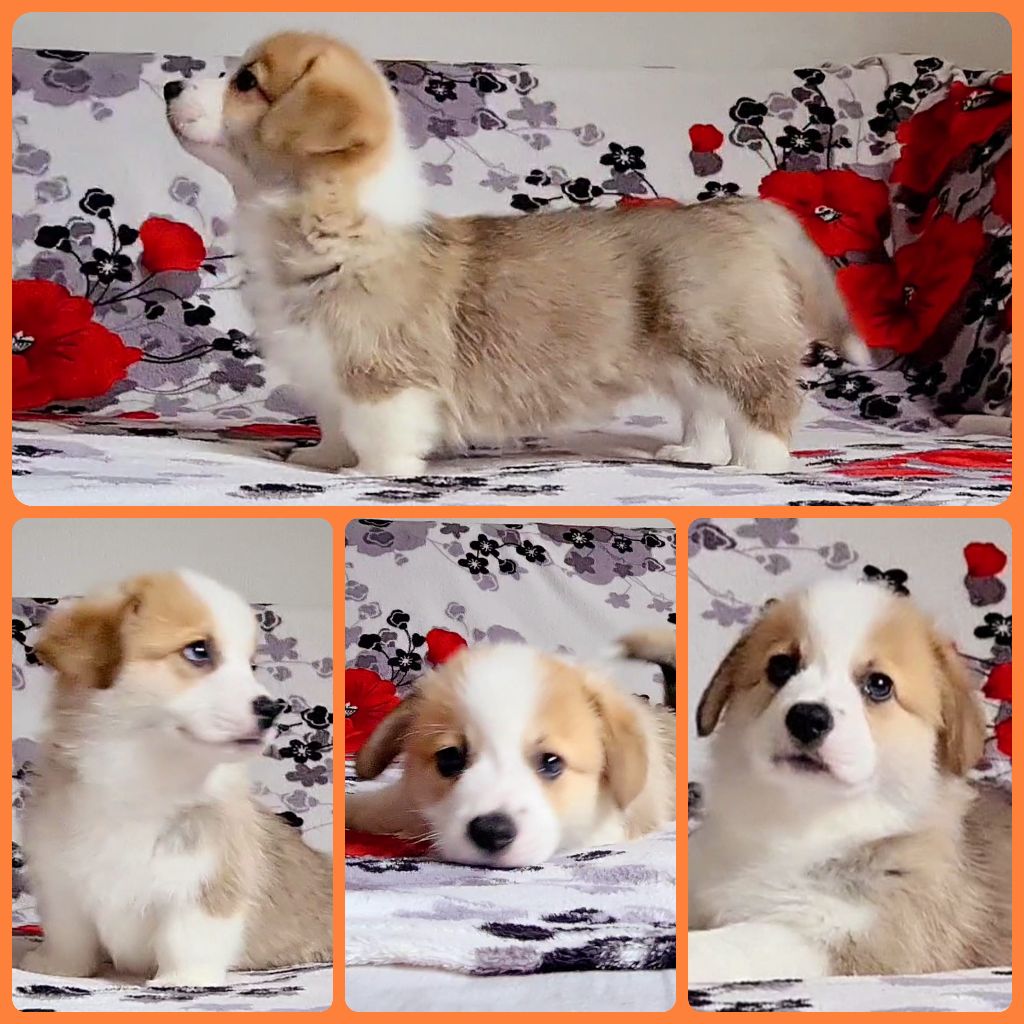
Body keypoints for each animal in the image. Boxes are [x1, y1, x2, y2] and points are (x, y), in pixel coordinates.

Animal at [19, 571, 332, 987]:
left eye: (250, 665)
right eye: (199, 651)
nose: (273, 710)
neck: (142, 785)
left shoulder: (204, 885)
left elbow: (186, 937)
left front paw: (182, 981)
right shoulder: (61, 884)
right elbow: (68, 935)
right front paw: (56, 968)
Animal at [163, 31, 866, 477]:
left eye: (246, 81)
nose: (169, 84)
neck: (333, 221)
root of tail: (738, 210)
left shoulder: (382, 373)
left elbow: (381, 431)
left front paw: (371, 474)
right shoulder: (330, 372)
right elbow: (335, 424)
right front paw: (319, 459)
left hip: (725, 341)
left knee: (762, 405)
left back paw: (757, 467)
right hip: (688, 359)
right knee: (707, 411)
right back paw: (694, 456)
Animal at [688, 579, 1011, 984]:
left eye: (879, 684)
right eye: (781, 666)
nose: (807, 718)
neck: (798, 824)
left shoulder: (850, 940)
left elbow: (734, 944)